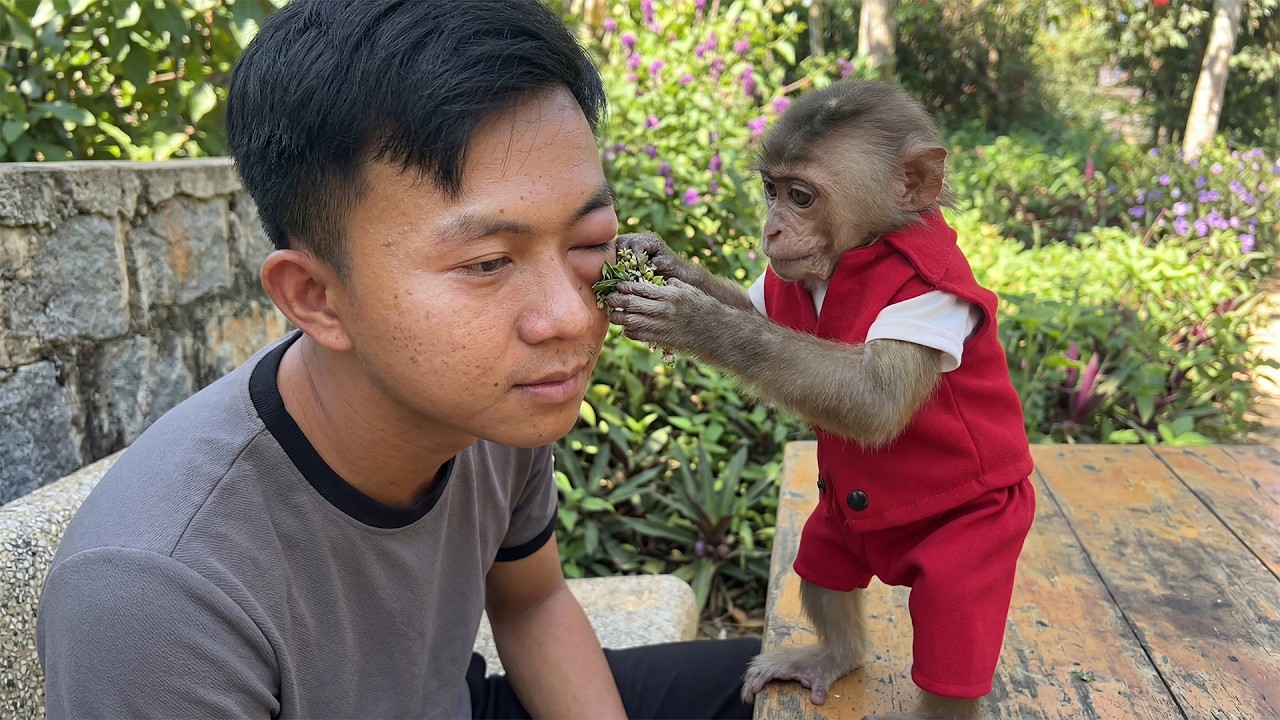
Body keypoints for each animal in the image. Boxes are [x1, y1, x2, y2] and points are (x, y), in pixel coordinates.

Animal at [604, 79, 1036, 720]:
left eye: (802, 197)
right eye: (772, 191)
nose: (772, 231)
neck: (865, 248)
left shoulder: (932, 294)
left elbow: (876, 399)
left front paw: (691, 318)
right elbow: (758, 307)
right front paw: (659, 258)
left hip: (981, 532)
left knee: (953, 624)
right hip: (838, 528)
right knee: (822, 566)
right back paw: (837, 654)